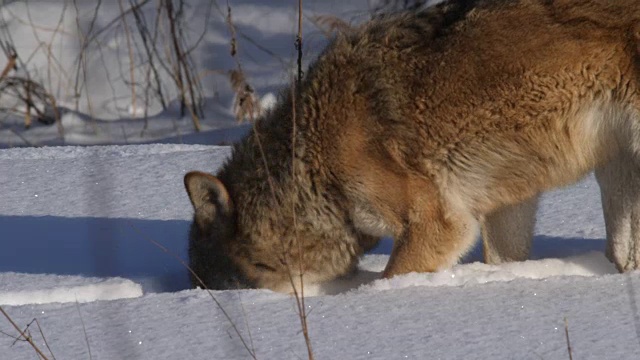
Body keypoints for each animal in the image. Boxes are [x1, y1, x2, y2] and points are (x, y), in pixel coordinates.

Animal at [182, 0, 640, 292]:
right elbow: (504, 260)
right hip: (618, 170)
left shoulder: (440, 222)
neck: (311, 159)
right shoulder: (506, 206)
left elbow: (391, 279)